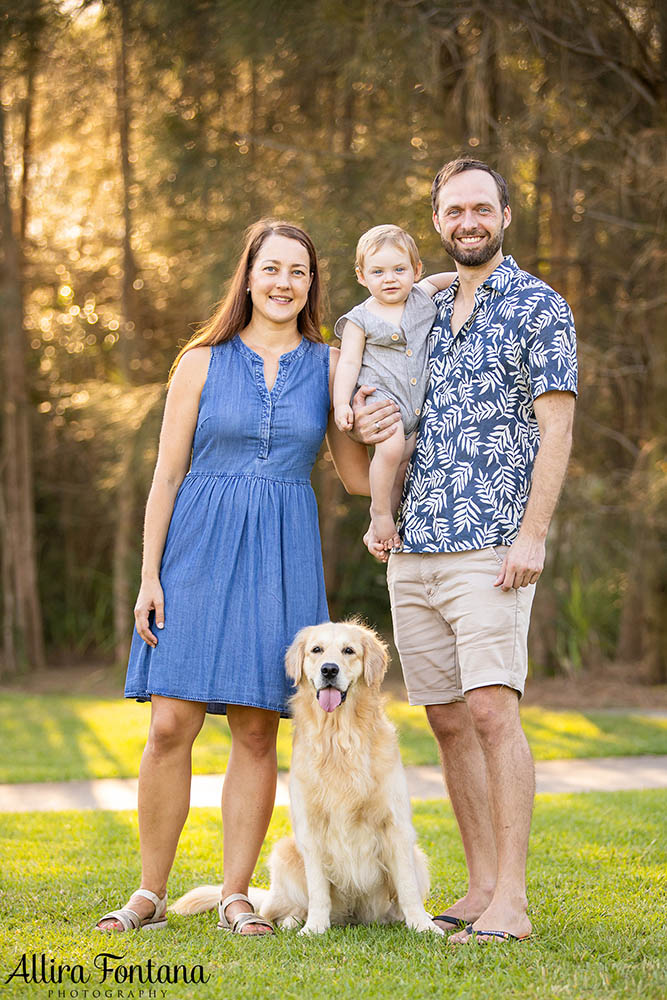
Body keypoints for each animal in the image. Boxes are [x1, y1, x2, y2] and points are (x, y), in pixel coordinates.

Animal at [172, 620, 444, 932]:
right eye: (317, 650)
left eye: (349, 650)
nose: (329, 670)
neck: (338, 738)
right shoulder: (311, 828)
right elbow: (318, 890)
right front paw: (314, 928)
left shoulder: (395, 825)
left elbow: (408, 888)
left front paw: (423, 925)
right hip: (284, 855)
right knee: (273, 910)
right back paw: (291, 921)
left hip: (418, 858)